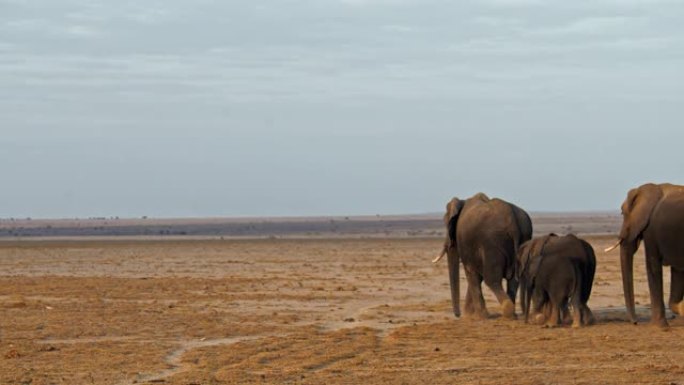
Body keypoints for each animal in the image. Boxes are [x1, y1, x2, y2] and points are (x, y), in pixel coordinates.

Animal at [608, 183, 684, 328]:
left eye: (622, 213)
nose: (635, 322)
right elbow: (677, 271)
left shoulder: (651, 229)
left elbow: (653, 266)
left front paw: (658, 326)